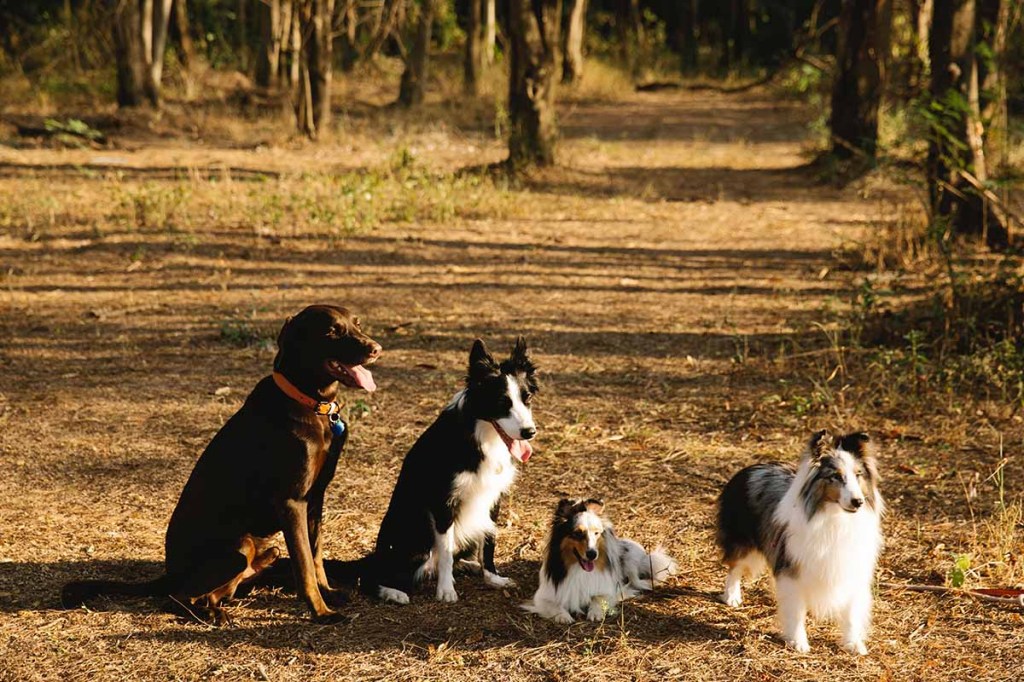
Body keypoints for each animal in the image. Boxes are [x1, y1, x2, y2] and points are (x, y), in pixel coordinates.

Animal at [64, 303, 385, 622]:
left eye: (357, 324)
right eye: (331, 331)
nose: (377, 349)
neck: (314, 406)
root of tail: (168, 575)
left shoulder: (316, 498)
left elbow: (316, 555)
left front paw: (328, 593)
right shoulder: (292, 502)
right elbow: (304, 563)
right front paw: (321, 612)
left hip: (262, 550)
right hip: (237, 549)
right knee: (175, 598)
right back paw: (210, 614)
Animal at [327, 333, 540, 602]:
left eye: (527, 399)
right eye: (502, 402)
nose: (530, 432)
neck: (479, 435)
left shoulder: (493, 497)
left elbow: (489, 541)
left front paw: (492, 577)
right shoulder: (442, 503)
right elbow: (446, 551)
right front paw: (446, 590)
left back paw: (468, 566)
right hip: (415, 542)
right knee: (370, 578)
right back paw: (394, 593)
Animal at [524, 493, 675, 622]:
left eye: (597, 533)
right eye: (577, 533)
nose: (592, 554)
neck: (579, 569)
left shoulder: (610, 590)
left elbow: (598, 598)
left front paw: (595, 613)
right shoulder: (543, 596)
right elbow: (554, 606)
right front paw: (563, 616)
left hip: (630, 559)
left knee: (637, 580)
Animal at [716, 428, 884, 651]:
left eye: (858, 475)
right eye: (835, 476)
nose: (858, 502)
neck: (834, 517)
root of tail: (749, 469)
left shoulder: (851, 569)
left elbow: (851, 612)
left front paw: (853, 643)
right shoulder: (793, 568)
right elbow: (795, 610)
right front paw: (798, 642)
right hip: (743, 543)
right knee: (734, 567)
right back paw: (732, 596)